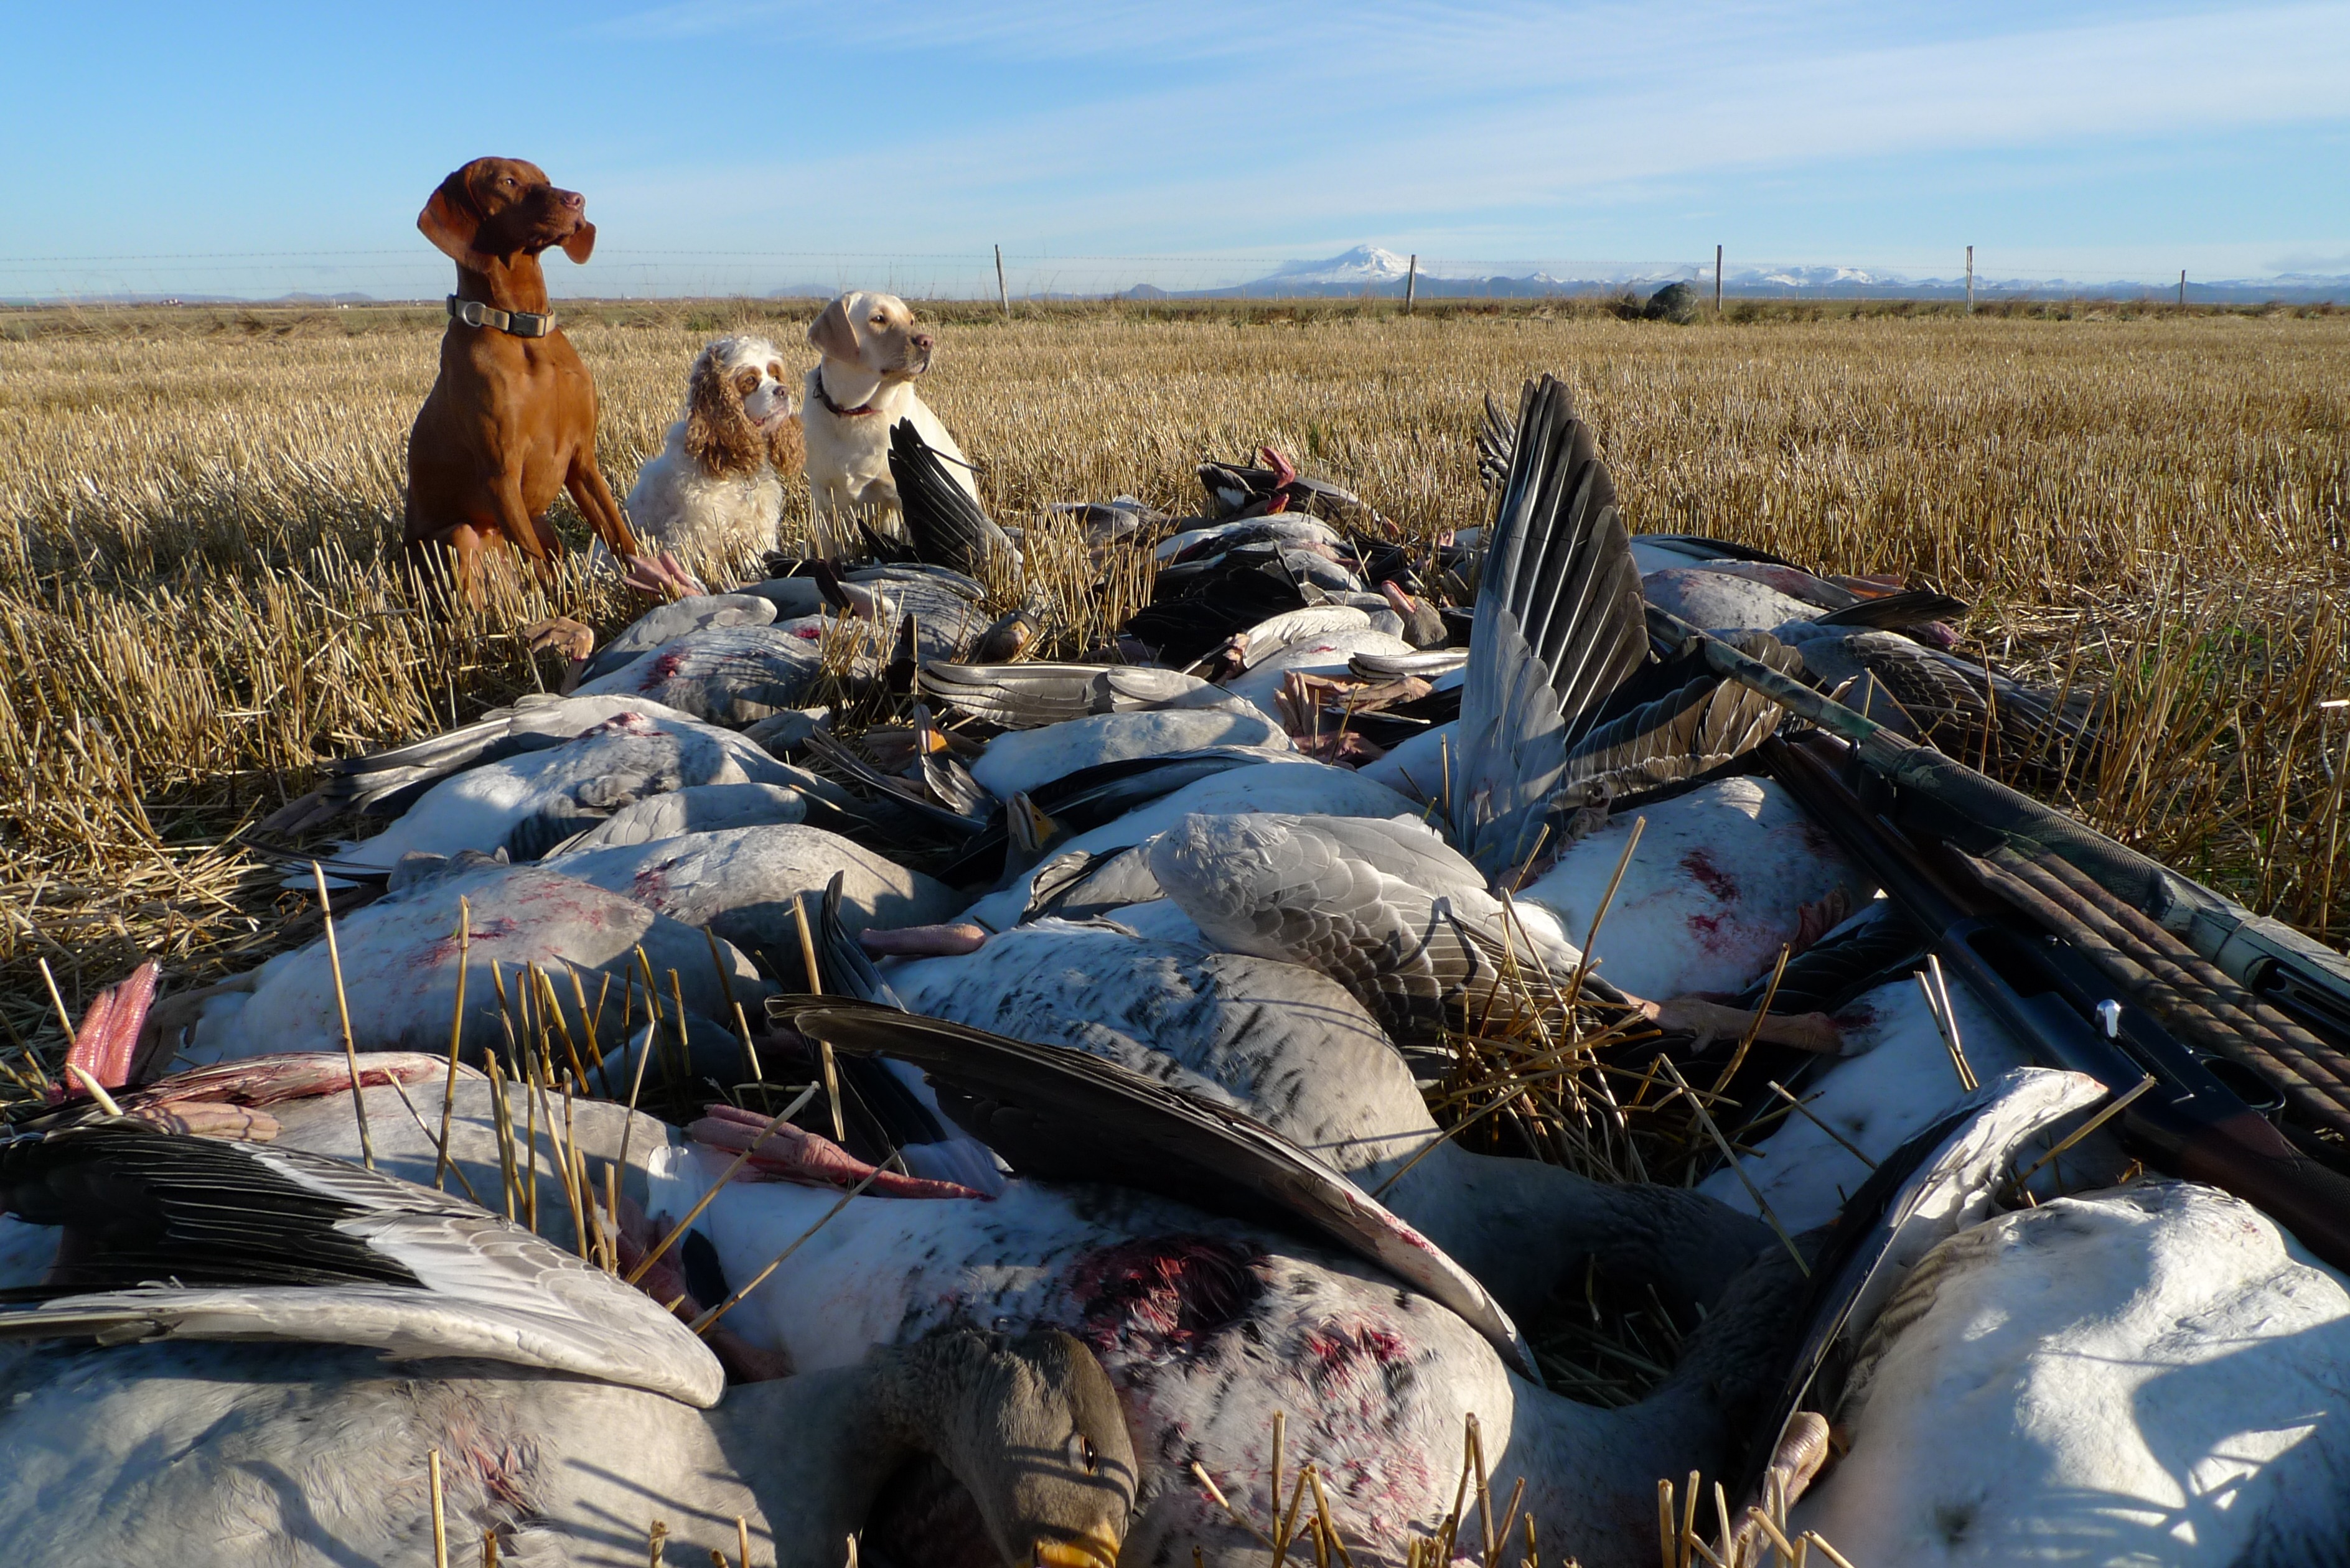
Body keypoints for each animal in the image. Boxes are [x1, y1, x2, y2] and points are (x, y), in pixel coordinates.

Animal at [397, 157, 648, 602]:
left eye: (546, 179)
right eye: (508, 181)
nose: (577, 200)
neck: (523, 330)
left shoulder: (583, 460)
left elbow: (623, 537)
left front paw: (663, 588)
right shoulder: (502, 474)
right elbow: (538, 568)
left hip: (545, 526)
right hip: (461, 536)